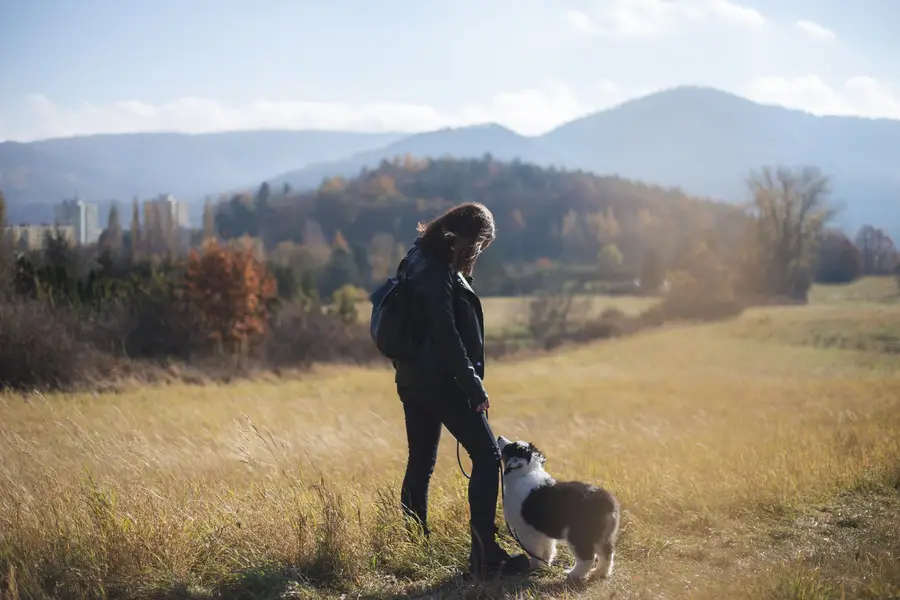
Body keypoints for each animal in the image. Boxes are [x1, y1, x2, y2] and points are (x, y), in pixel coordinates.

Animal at [496, 436, 624, 580]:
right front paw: (544, 565)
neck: (525, 472)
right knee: (607, 553)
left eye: (510, 447)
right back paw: (600, 573)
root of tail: (607, 501)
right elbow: (548, 549)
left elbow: (534, 551)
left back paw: (573, 574)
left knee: (587, 558)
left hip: (579, 533)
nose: (499, 437)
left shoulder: (526, 529)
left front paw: (534, 567)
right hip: (603, 534)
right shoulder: (542, 531)